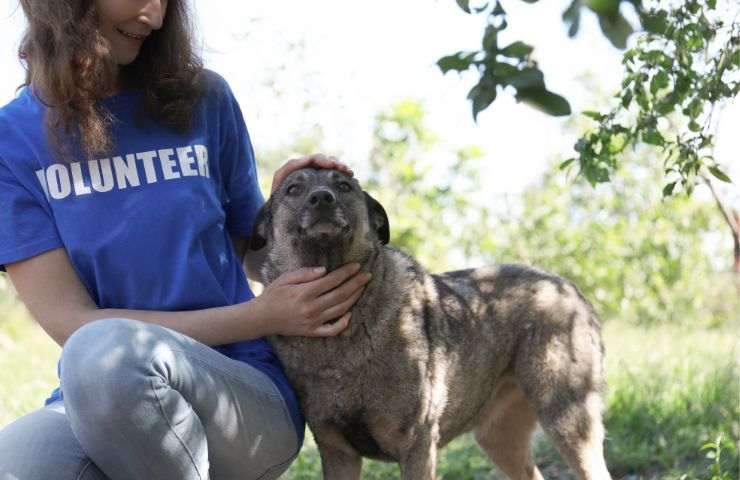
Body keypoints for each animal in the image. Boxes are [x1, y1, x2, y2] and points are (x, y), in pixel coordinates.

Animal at [249, 167, 612, 478]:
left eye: (344, 186)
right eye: (294, 189)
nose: (322, 198)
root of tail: (567, 286)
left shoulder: (417, 447)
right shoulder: (337, 453)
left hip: (567, 421)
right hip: (500, 438)